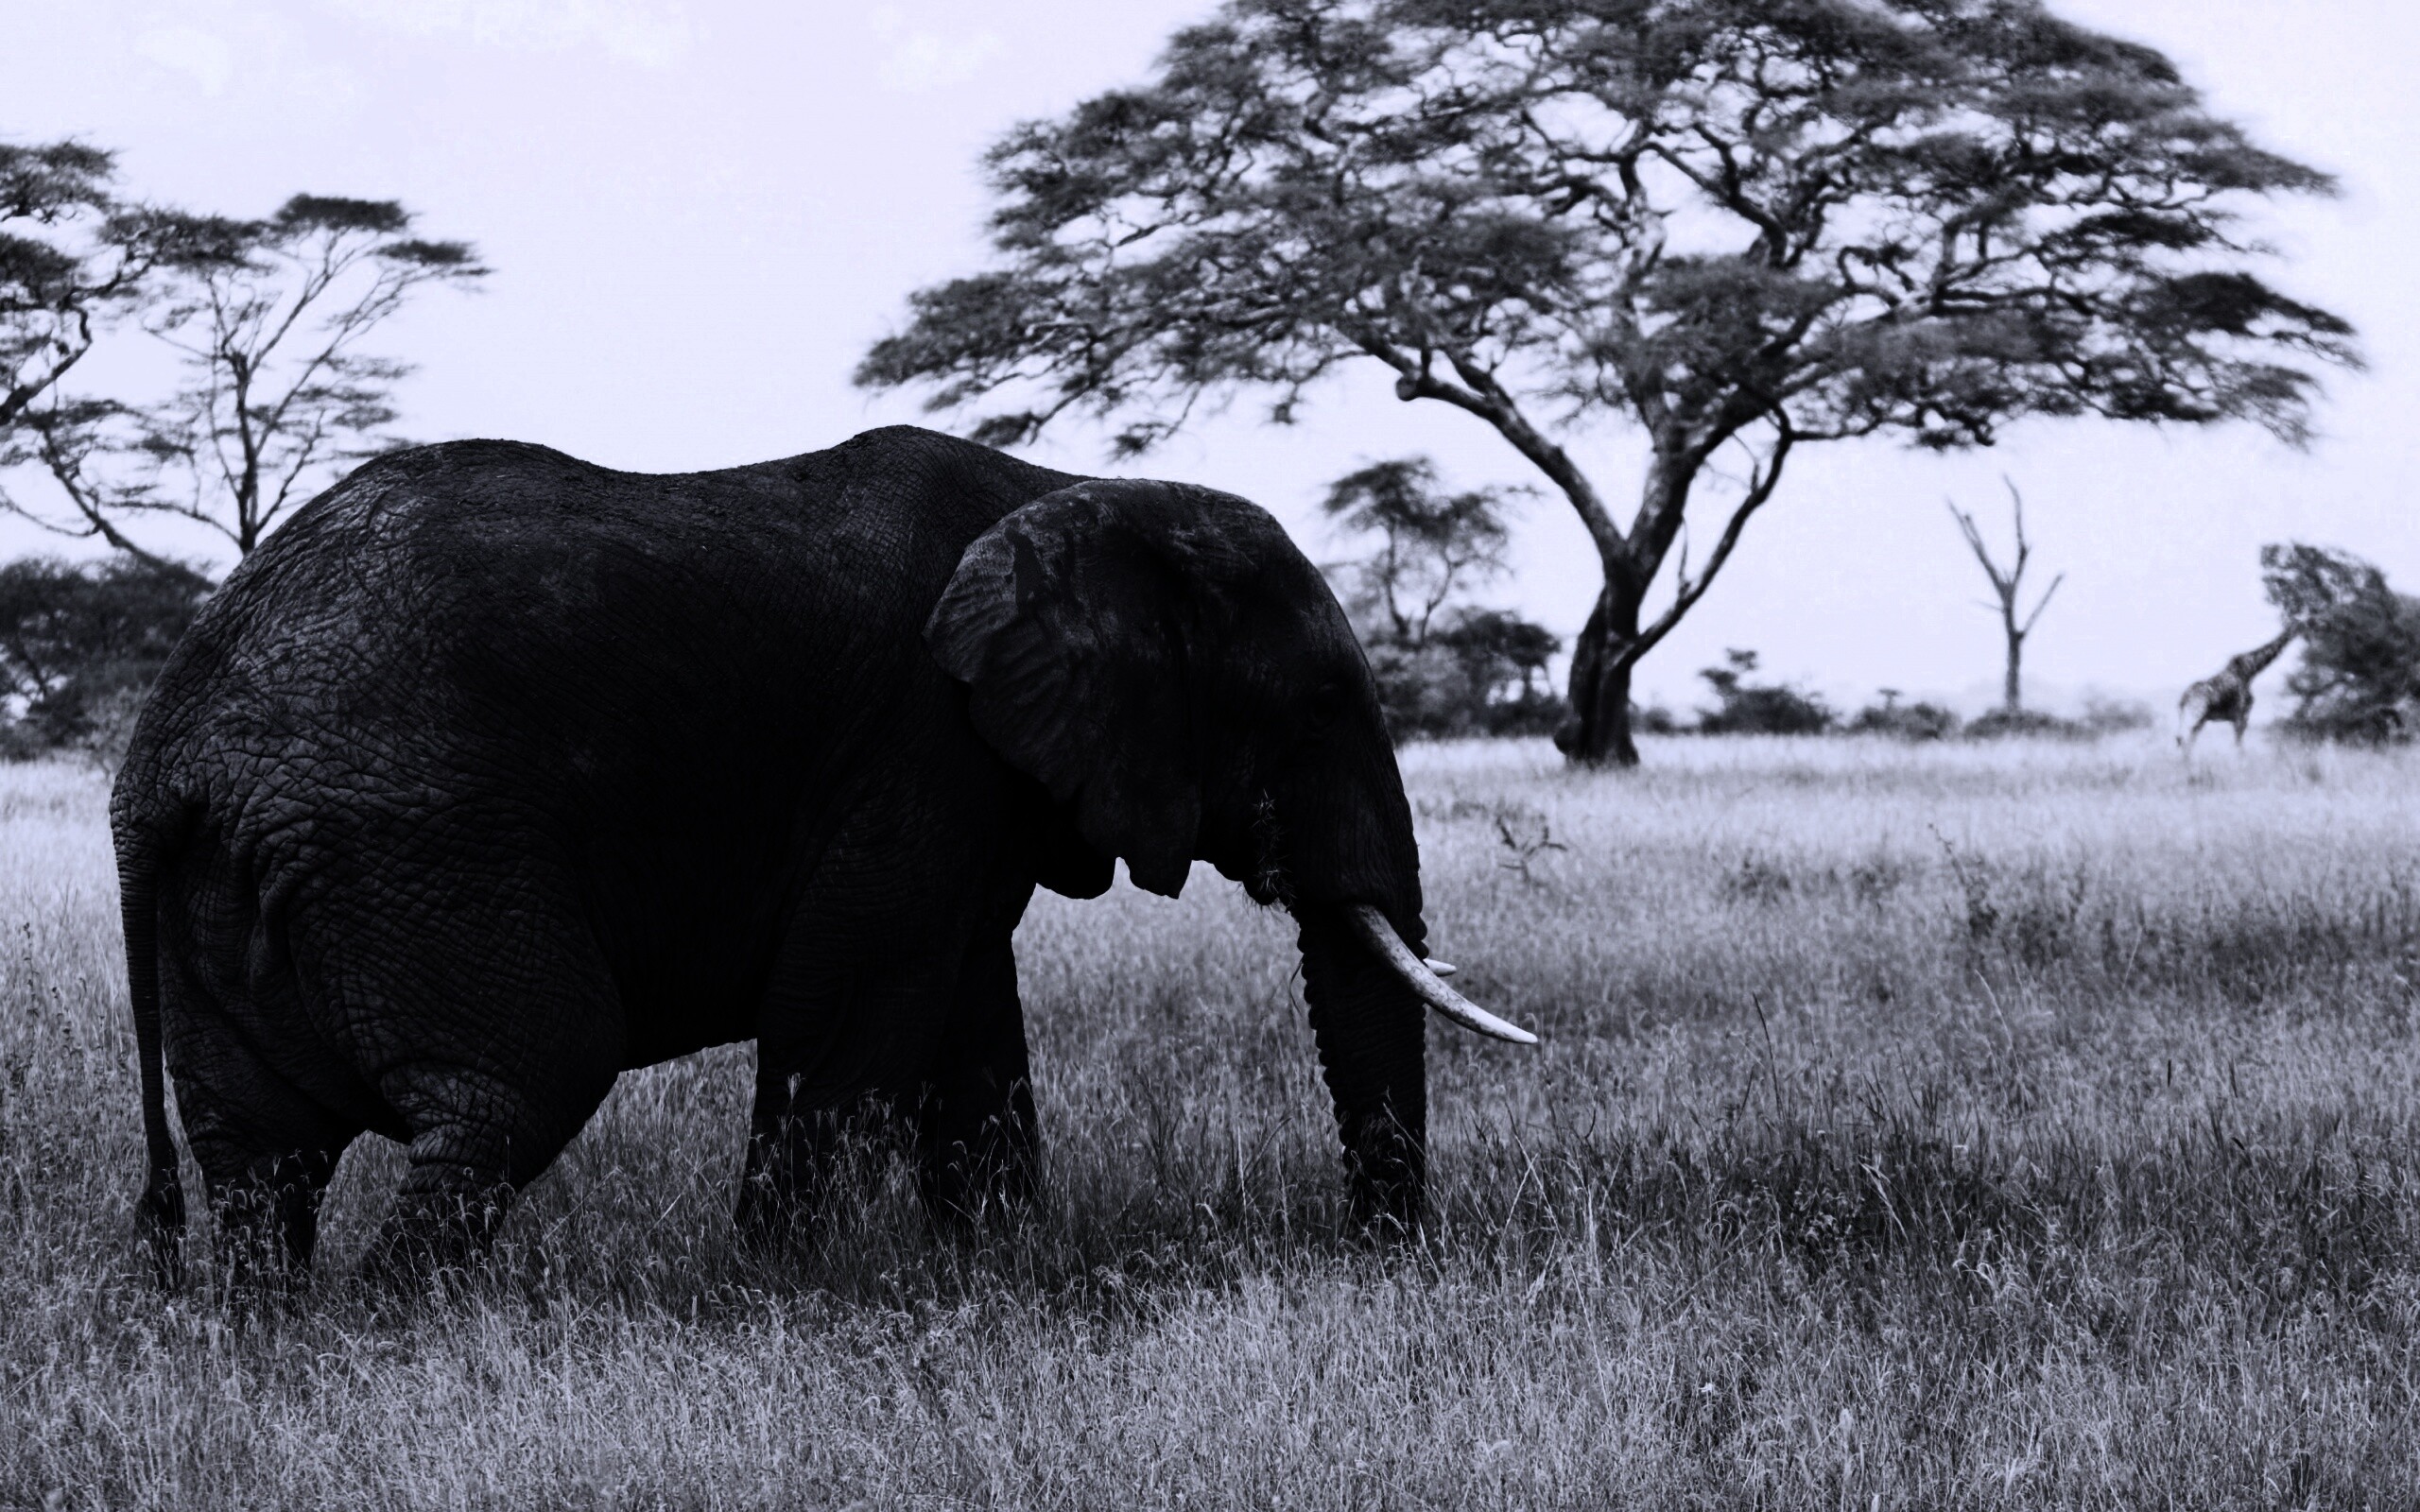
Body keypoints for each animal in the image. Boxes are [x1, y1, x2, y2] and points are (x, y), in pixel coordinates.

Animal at [114, 424, 1533, 1285]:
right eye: (1319, 706)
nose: (1379, 1256)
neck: (1072, 493)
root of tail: (163, 751)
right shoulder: (923, 746)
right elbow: (848, 1013)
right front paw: (779, 1295)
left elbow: (968, 1023)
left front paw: (997, 1277)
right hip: (415, 847)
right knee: (516, 1084)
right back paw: (398, 1332)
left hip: (245, 888)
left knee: (261, 1159)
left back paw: (279, 1338)